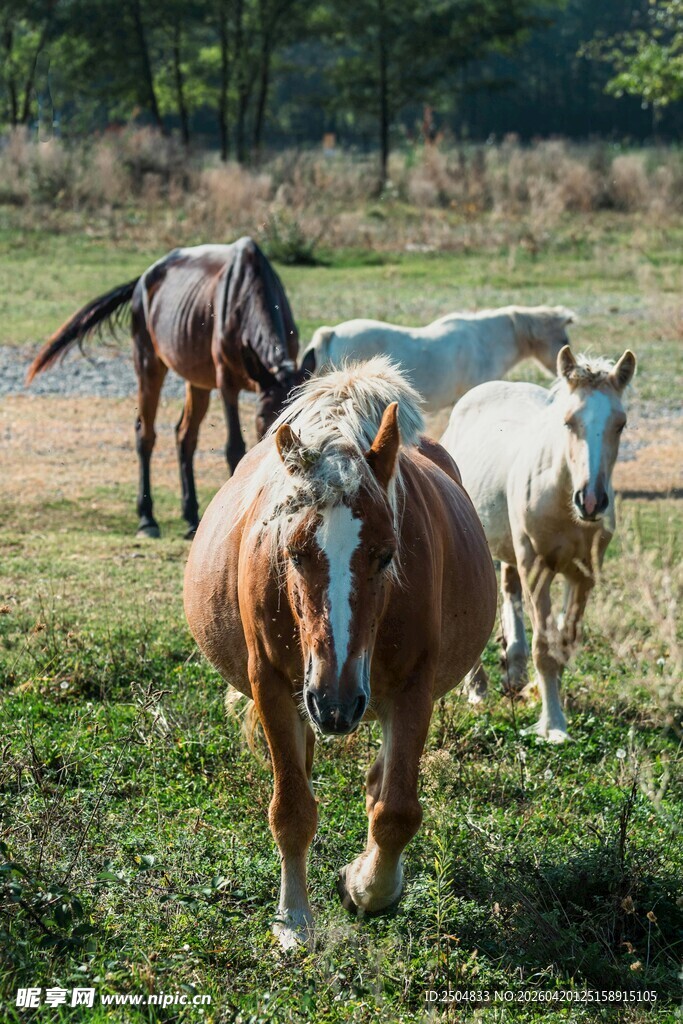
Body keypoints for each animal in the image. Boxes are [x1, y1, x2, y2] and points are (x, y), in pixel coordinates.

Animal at [26, 237, 314, 538]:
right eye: (262, 418)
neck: (248, 294)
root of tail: (143, 279)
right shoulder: (226, 382)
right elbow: (235, 448)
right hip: (149, 363)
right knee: (146, 433)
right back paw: (147, 519)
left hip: (197, 380)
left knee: (185, 435)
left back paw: (191, 517)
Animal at [184, 357, 497, 948]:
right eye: (293, 552)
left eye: (386, 555)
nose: (336, 703)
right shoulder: (274, 686)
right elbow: (292, 810)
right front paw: (294, 920)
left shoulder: (414, 690)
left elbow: (395, 810)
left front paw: (364, 887)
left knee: (381, 784)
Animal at [440, 345, 636, 743]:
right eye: (569, 422)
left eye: (620, 424)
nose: (591, 501)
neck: (560, 496)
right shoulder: (537, 567)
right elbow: (545, 648)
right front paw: (554, 725)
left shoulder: (583, 575)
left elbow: (565, 640)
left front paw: (541, 695)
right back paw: (477, 686)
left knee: (509, 589)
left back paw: (512, 671)